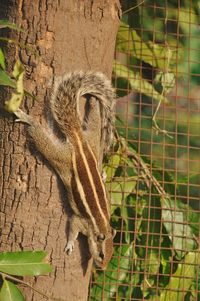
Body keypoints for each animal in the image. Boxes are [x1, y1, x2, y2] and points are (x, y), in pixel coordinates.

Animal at [14, 69, 115, 268]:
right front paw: (69, 245)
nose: (103, 268)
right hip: (60, 157)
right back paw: (29, 120)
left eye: (112, 254)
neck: (101, 223)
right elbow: (72, 229)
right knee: (42, 139)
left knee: (95, 122)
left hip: (93, 141)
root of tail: (78, 139)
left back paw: (93, 103)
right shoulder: (80, 221)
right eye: (101, 255)